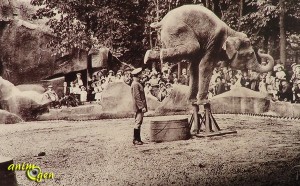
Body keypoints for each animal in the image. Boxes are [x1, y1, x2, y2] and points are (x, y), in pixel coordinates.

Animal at [145, 4, 274, 104]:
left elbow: (194, 68)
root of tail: (162, 22)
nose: (260, 51)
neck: (231, 31)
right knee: (192, 47)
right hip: (177, 30)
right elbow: (205, 65)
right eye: (250, 54)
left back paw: (149, 56)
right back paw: (149, 56)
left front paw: (192, 101)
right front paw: (204, 102)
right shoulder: (215, 41)